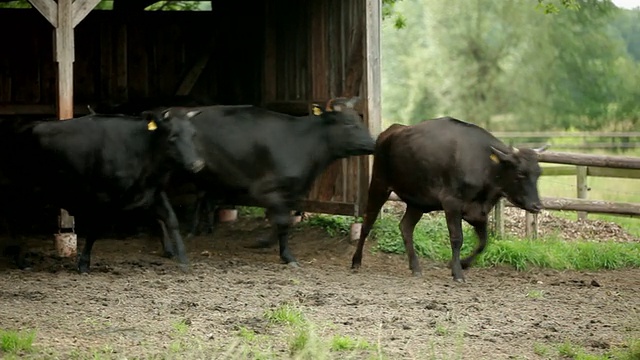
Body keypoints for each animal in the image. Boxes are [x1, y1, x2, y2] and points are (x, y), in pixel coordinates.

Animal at [0, 109, 204, 272]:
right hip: (24, 190)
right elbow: (94, 230)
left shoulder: (153, 192)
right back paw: (20, 259)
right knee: (14, 219)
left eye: (193, 135)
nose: (197, 164)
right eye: (173, 137)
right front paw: (83, 264)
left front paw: (183, 259)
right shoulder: (102, 197)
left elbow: (171, 220)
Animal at [162, 97, 378, 266]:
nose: (373, 143)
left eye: (360, 120)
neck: (302, 143)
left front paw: (266, 242)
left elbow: (284, 221)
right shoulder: (263, 189)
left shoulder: (294, 191)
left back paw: (201, 229)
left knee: (202, 196)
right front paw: (285, 255)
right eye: (348, 123)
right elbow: (282, 221)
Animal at [348, 117, 548, 282]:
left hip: (417, 202)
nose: (537, 205)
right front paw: (457, 272)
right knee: (367, 223)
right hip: (379, 185)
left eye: (538, 173)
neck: (484, 165)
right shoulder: (452, 203)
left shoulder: (478, 213)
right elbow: (457, 238)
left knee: (405, 227)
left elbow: (483, 242)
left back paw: (415, 267)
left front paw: (462, 264)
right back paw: (356, 261)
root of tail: (390, 131)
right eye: (520, 173)